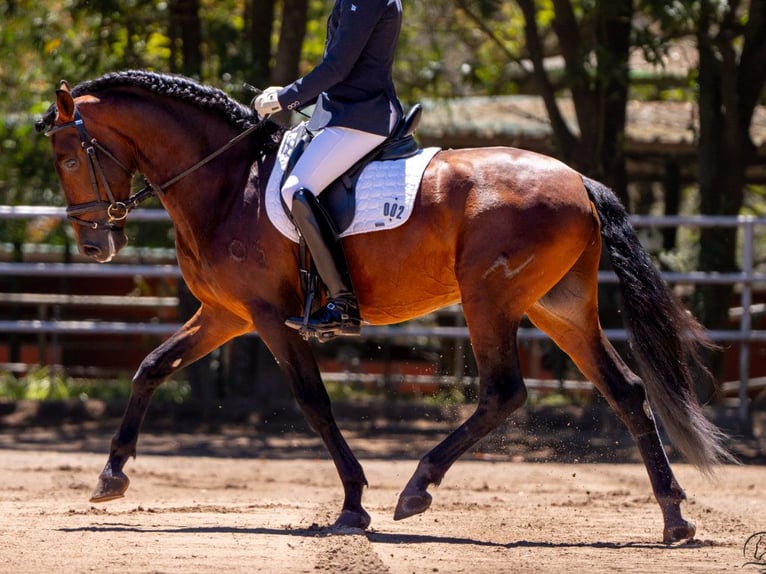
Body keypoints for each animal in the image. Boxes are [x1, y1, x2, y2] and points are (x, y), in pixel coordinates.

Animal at [39, 71, 736, 544]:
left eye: (71, 157)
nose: (94, 245)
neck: (227, 183)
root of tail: (578, 181)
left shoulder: (268, 317)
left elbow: (314, 404)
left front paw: (353, 503)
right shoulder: (225, 314)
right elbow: (151, 367)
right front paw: (110, 477)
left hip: (490, 300)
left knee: (504, 393)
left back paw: (417, 488)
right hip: (556, 308)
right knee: (626, 392)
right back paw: (673, 517)